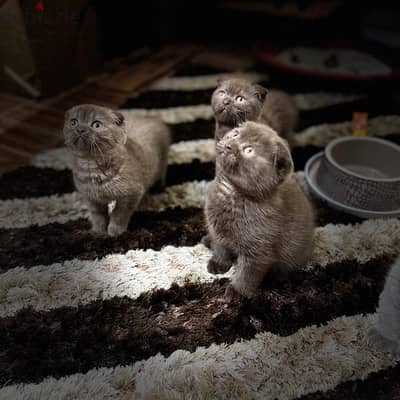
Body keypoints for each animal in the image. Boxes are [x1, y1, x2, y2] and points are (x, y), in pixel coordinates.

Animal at [63, 104, 170, 238]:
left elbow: (119, 214)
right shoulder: (92, 199)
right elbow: (98, 217)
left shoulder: (130, 195)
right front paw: (98, 232)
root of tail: (153, 118)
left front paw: (115, 232)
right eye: (73, 122)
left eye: (96, 125)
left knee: (161, 174)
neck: (91, 165)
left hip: (162, 164)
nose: (80, 129)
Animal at [205, 120, 314, 298]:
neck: (230, 192)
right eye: (235, 134)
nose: (229, 146)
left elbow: (247, 274)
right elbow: (221, 248)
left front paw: (236, 292)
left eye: (249, 151)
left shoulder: (259, 252)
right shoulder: (217, 232)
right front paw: (218, 263)